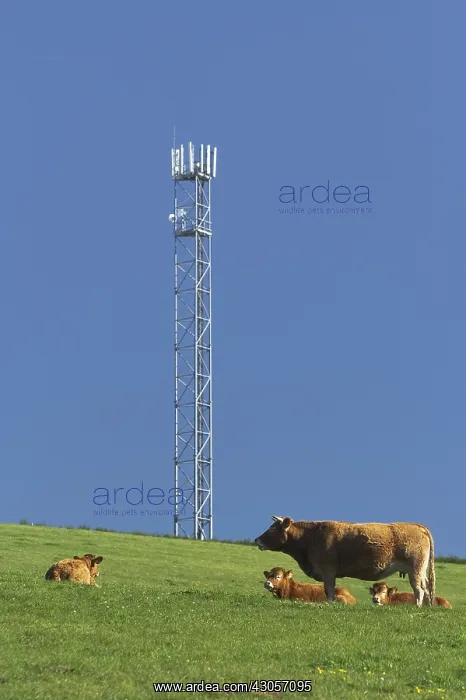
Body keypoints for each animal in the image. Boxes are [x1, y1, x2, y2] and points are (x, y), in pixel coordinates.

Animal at [254, 516, 435, 607]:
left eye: (272, 528)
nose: (257, 540)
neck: (311, 537)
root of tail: (417, 525)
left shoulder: (327, 570)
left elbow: (329, 590)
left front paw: (329, 603)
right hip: (420, 571)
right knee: (427, 589)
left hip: (415, 569)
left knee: (419, 590)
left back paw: (418, 606)